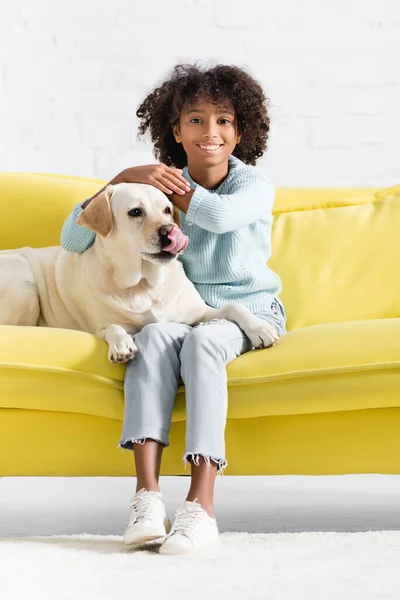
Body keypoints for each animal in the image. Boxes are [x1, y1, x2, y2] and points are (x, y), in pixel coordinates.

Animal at [0, 183, 280, 360]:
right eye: (135, 212)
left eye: (167, 210)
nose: (169, 231)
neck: (142, 283)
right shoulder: (101, 328)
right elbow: (115, 328)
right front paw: (121, 345)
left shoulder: (198, 312)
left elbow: (235, 307)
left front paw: (260, 328)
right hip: (23, 278)